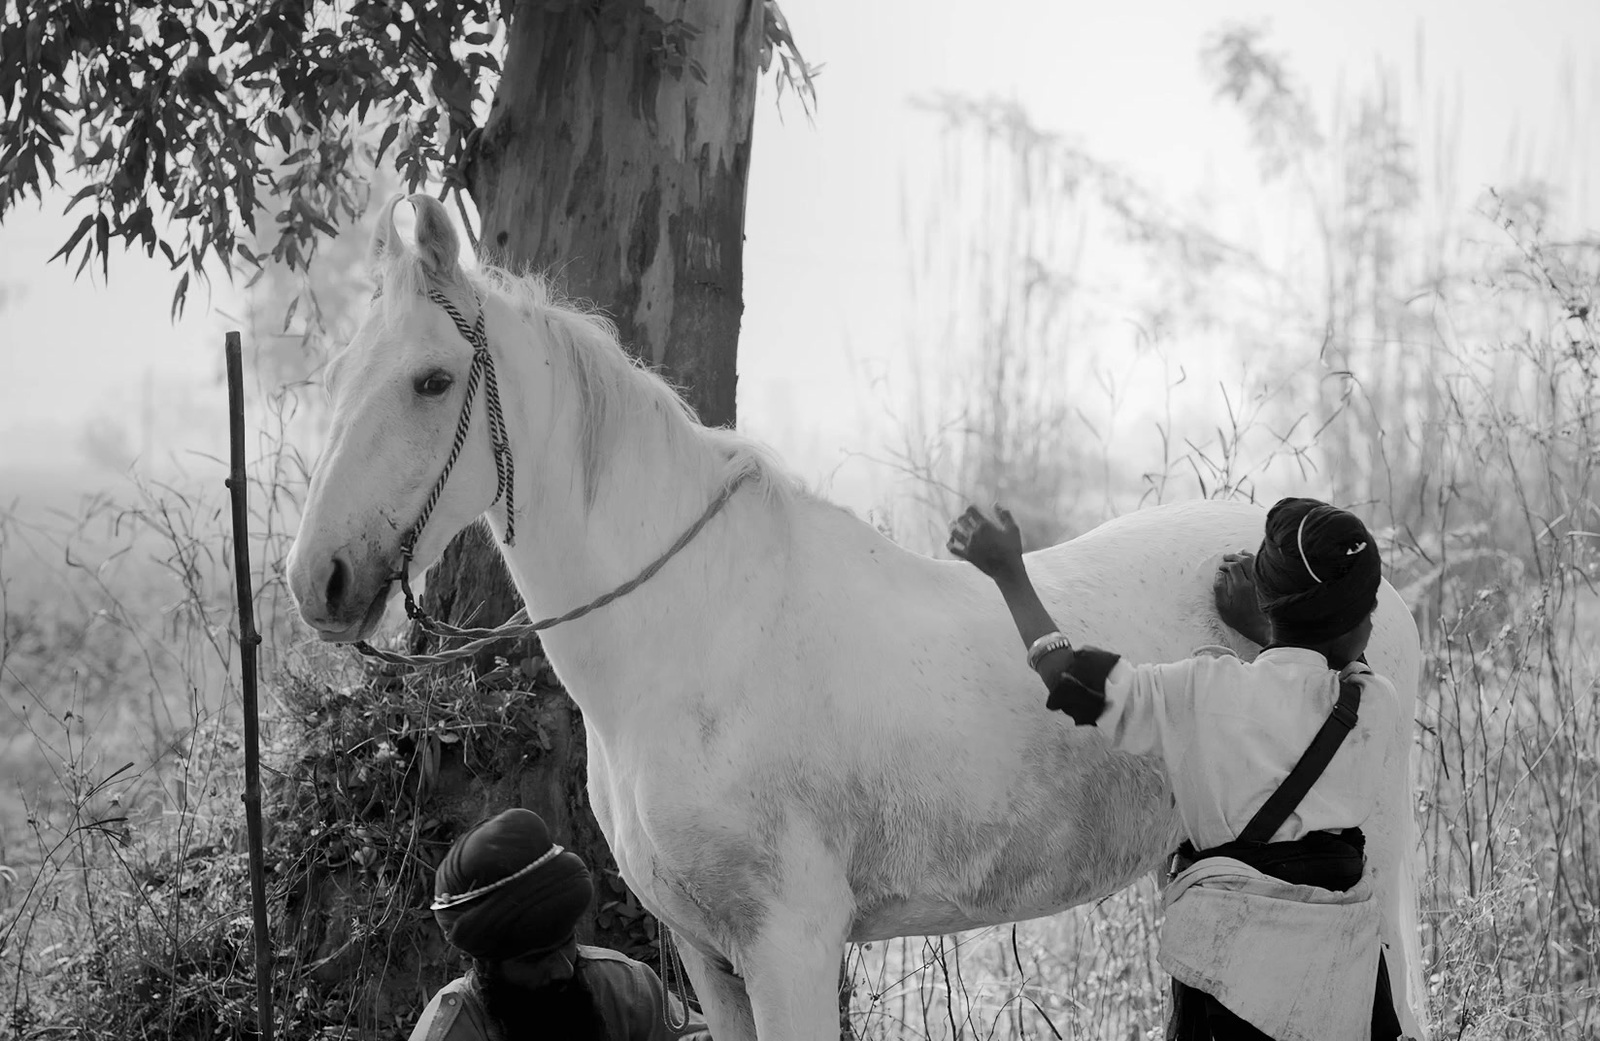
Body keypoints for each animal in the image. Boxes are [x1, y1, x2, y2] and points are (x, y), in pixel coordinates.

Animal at [288, 197, 1427, 1041]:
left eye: (432, 380)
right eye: (336, 377)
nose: (317, 582)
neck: (692, 642)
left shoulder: (790, 945)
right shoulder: (709, 957)